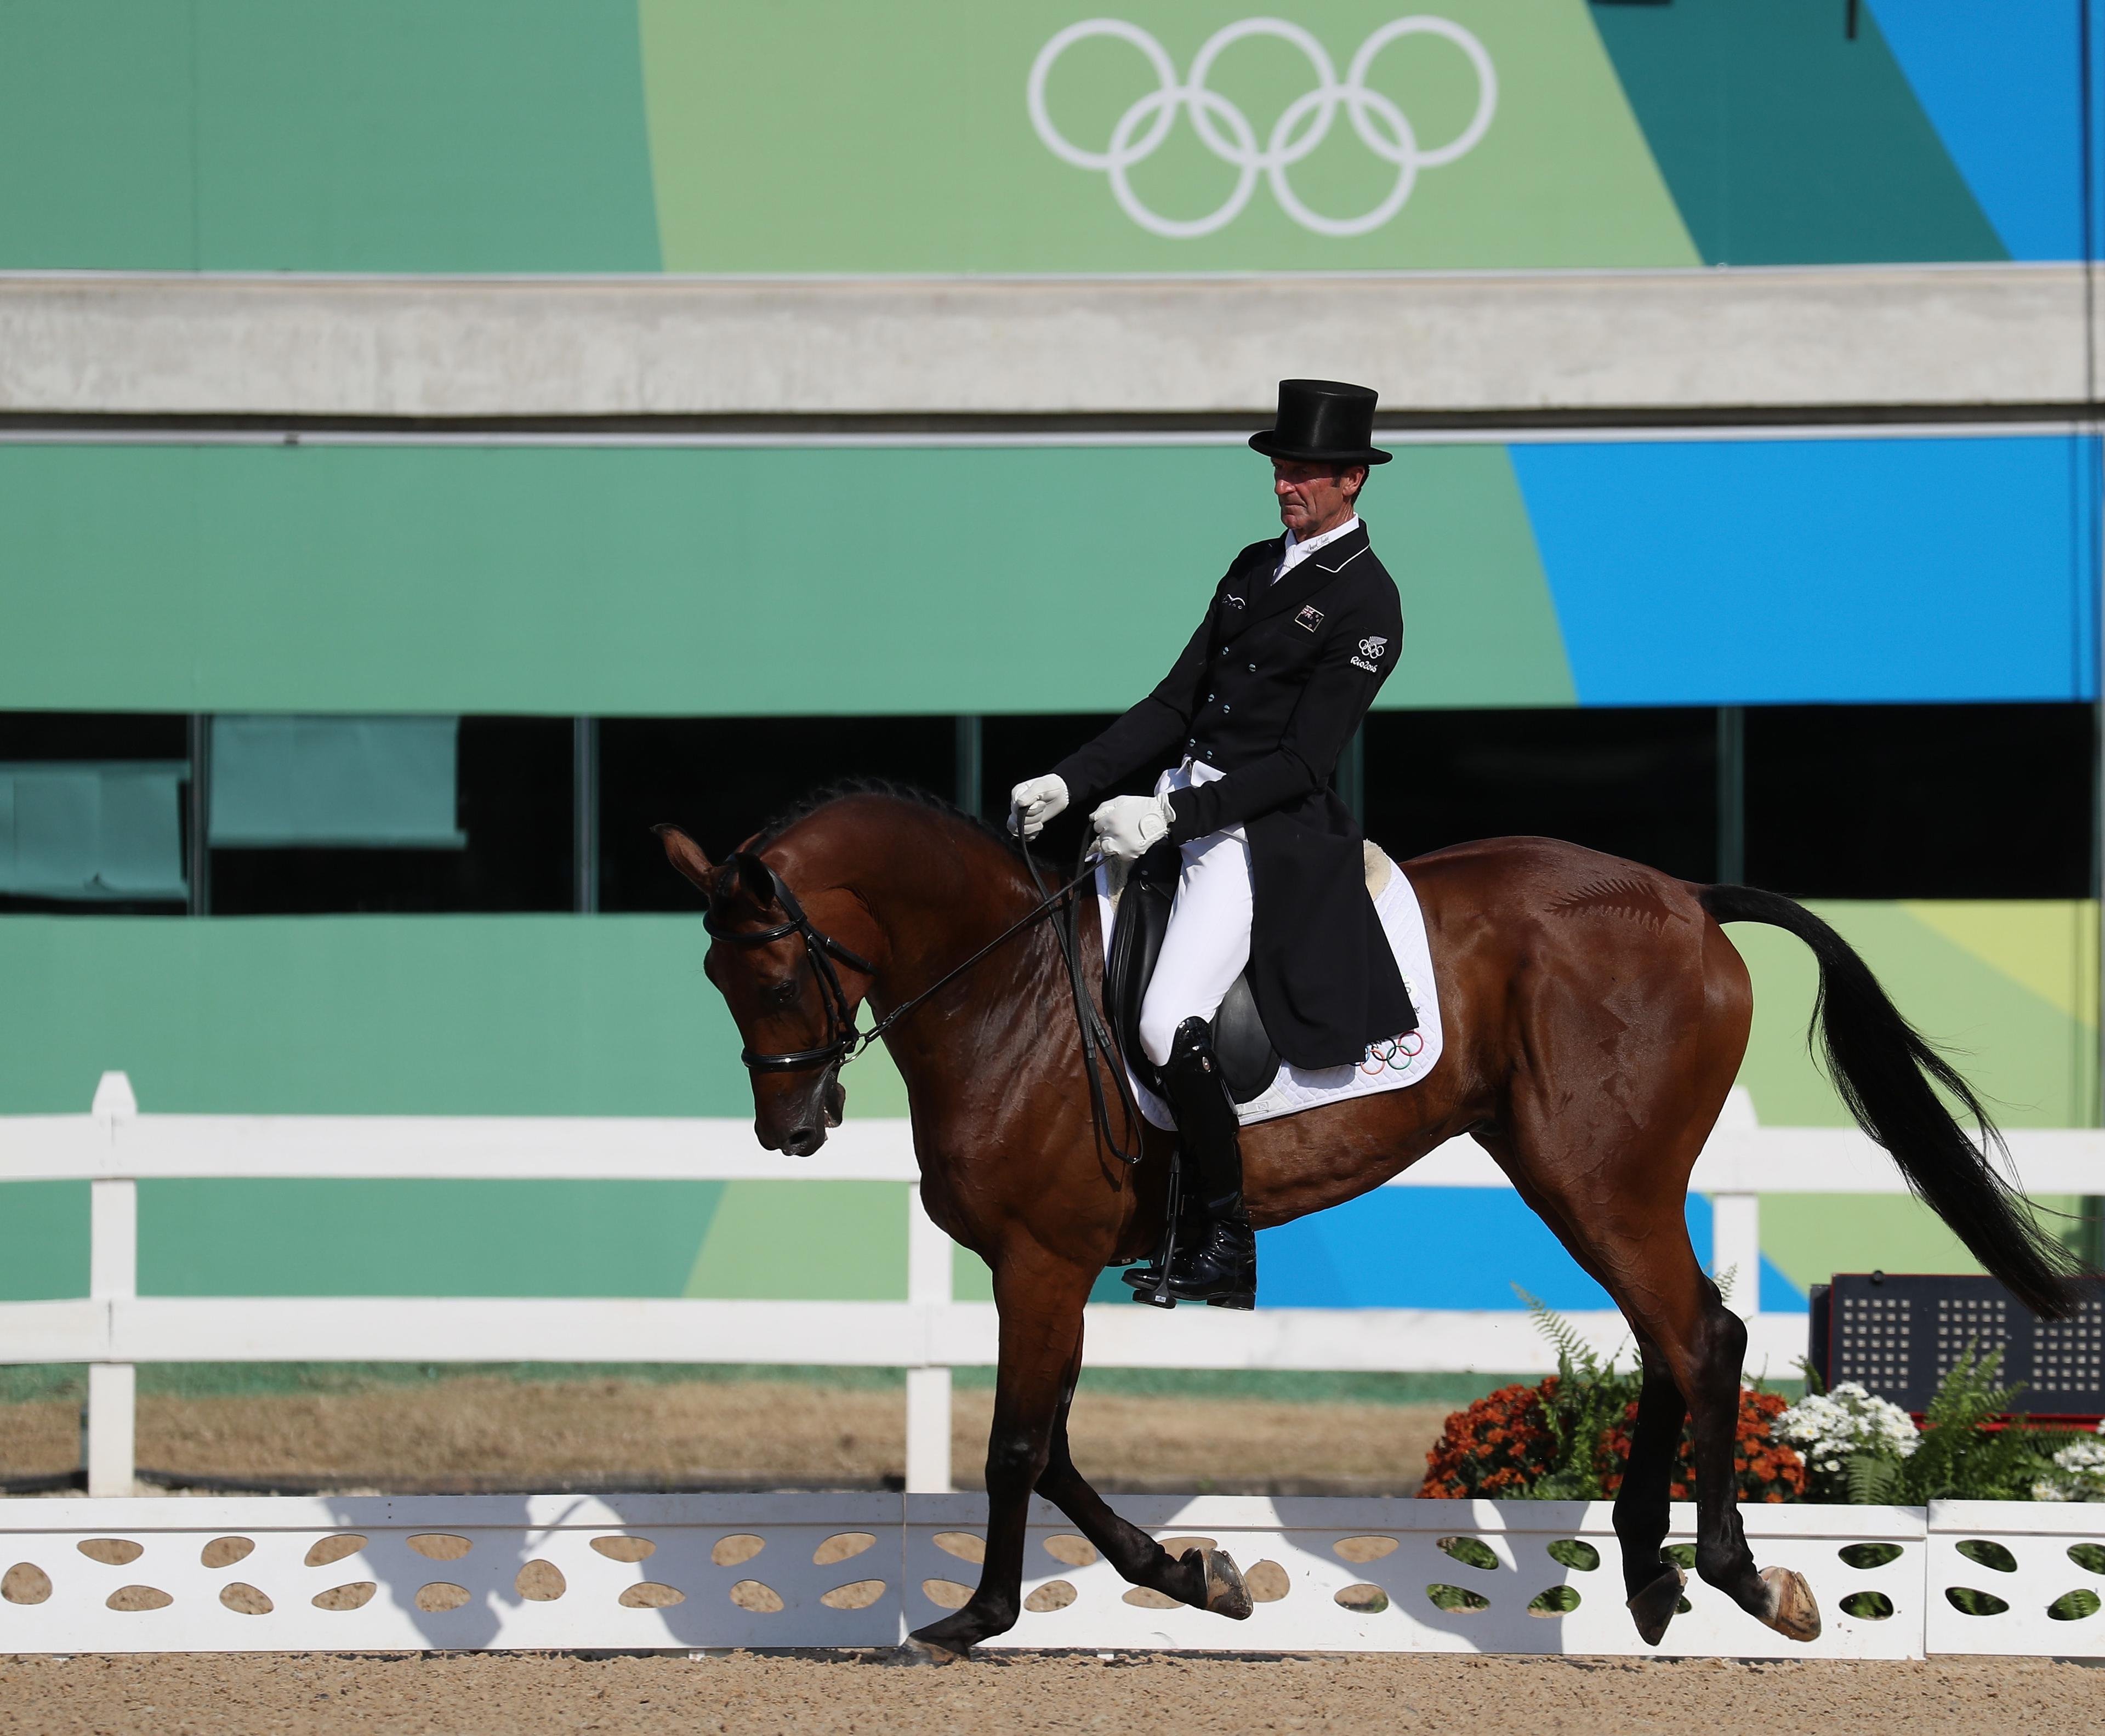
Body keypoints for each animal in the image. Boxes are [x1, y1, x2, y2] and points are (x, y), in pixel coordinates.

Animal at [652, 787, 2071, 1649]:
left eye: (771, 966)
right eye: (713, 972)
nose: (791, 1131)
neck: (1007, 991)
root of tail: (1679, 895)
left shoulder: (1039, 1262)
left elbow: (1013, 1447)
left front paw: (978, 1613)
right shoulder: (1049, 1268)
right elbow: (1049, 1447)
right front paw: (1195, 1575)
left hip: (1595, 1172)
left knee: (1697, 1335)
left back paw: (1735, 1572)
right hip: (1572, 1169)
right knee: (1674, 1335)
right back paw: (1653, 1571)